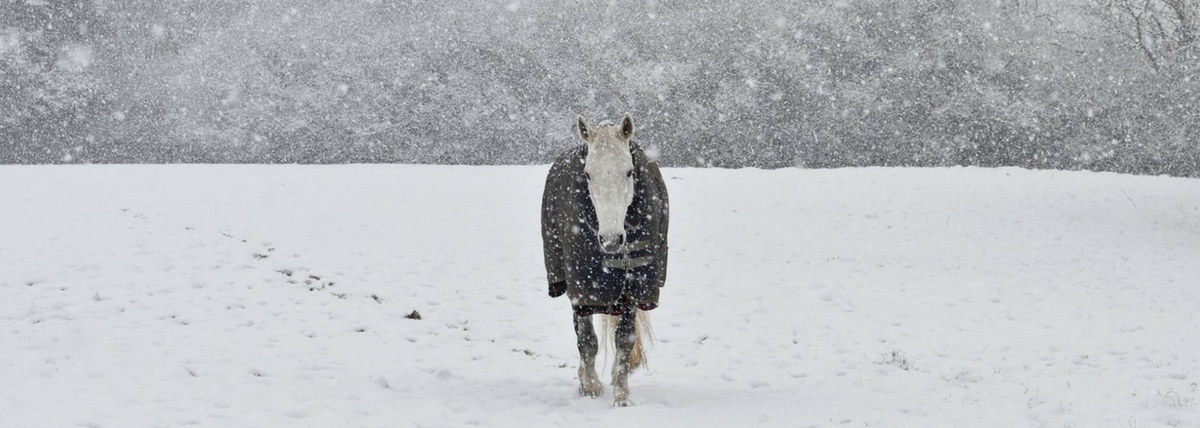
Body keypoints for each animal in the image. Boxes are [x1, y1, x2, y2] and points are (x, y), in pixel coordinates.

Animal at [542, 111, 672, 405]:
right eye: (588, 174)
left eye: (629, 172)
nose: (611, 240)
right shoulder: (581, 288)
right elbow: (587, 340)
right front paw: (590, 387)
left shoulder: (634, 285)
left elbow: (625, 340)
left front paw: (621, 396)